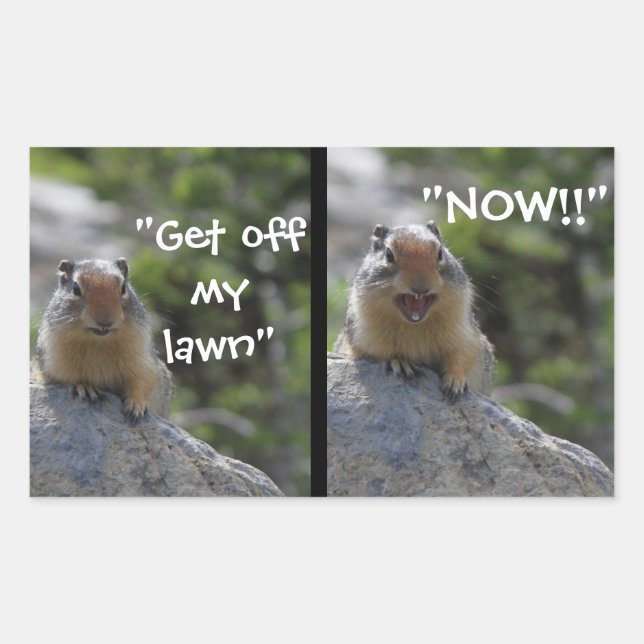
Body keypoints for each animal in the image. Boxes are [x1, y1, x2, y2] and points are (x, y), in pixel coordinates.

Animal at [35, 257, 173, 422]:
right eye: (75, 288)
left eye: (123, 288)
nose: (105, 321)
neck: (99, 342)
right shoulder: (54, 360)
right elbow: (68, 376)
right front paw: (86, 387)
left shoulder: (143, 358)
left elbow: (142, 380)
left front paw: (136, 404)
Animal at [334, 221, 495, 401]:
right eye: (388, 254)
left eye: (440, 253)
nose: (421, 286)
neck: (415, 325)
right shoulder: (363, 336)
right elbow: (380, 351)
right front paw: (400, 361)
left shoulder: (465, 333)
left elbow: (461, 355)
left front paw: (455, 381)